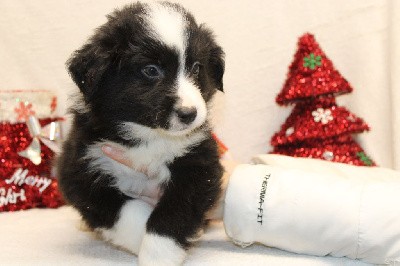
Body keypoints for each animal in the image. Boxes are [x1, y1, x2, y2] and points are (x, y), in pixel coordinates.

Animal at [56, 1, 225, 264]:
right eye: (151, 70)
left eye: (197, 68)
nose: (189, 114)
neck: (148, 135)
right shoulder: (80, 168)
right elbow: (124, 210)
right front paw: (140, 240)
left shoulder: (198, 163)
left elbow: (176, 210)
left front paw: (158, 254)